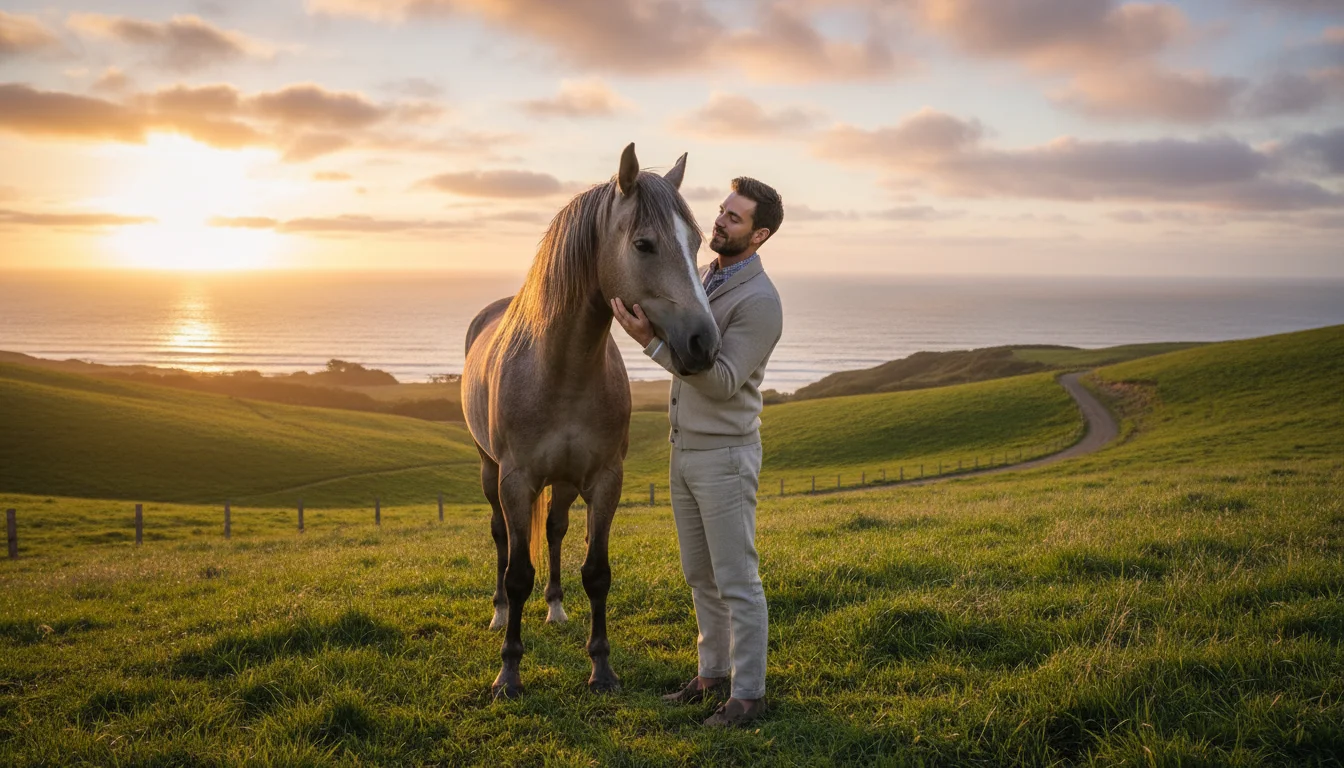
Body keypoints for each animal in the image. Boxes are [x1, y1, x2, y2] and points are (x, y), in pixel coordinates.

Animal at [462, 144, 720, 699]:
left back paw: (556, 608)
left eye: (697, 243)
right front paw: (508, 674)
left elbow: (596, 571)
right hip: (490, 472)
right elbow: (518, 572)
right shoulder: (516, 481)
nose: (704, 343)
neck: (561, 368)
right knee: (500, 538)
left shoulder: (605, 479)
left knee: (556, 530)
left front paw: (601, 667)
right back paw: (499, 614)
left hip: (563, 481)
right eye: (644, 244)